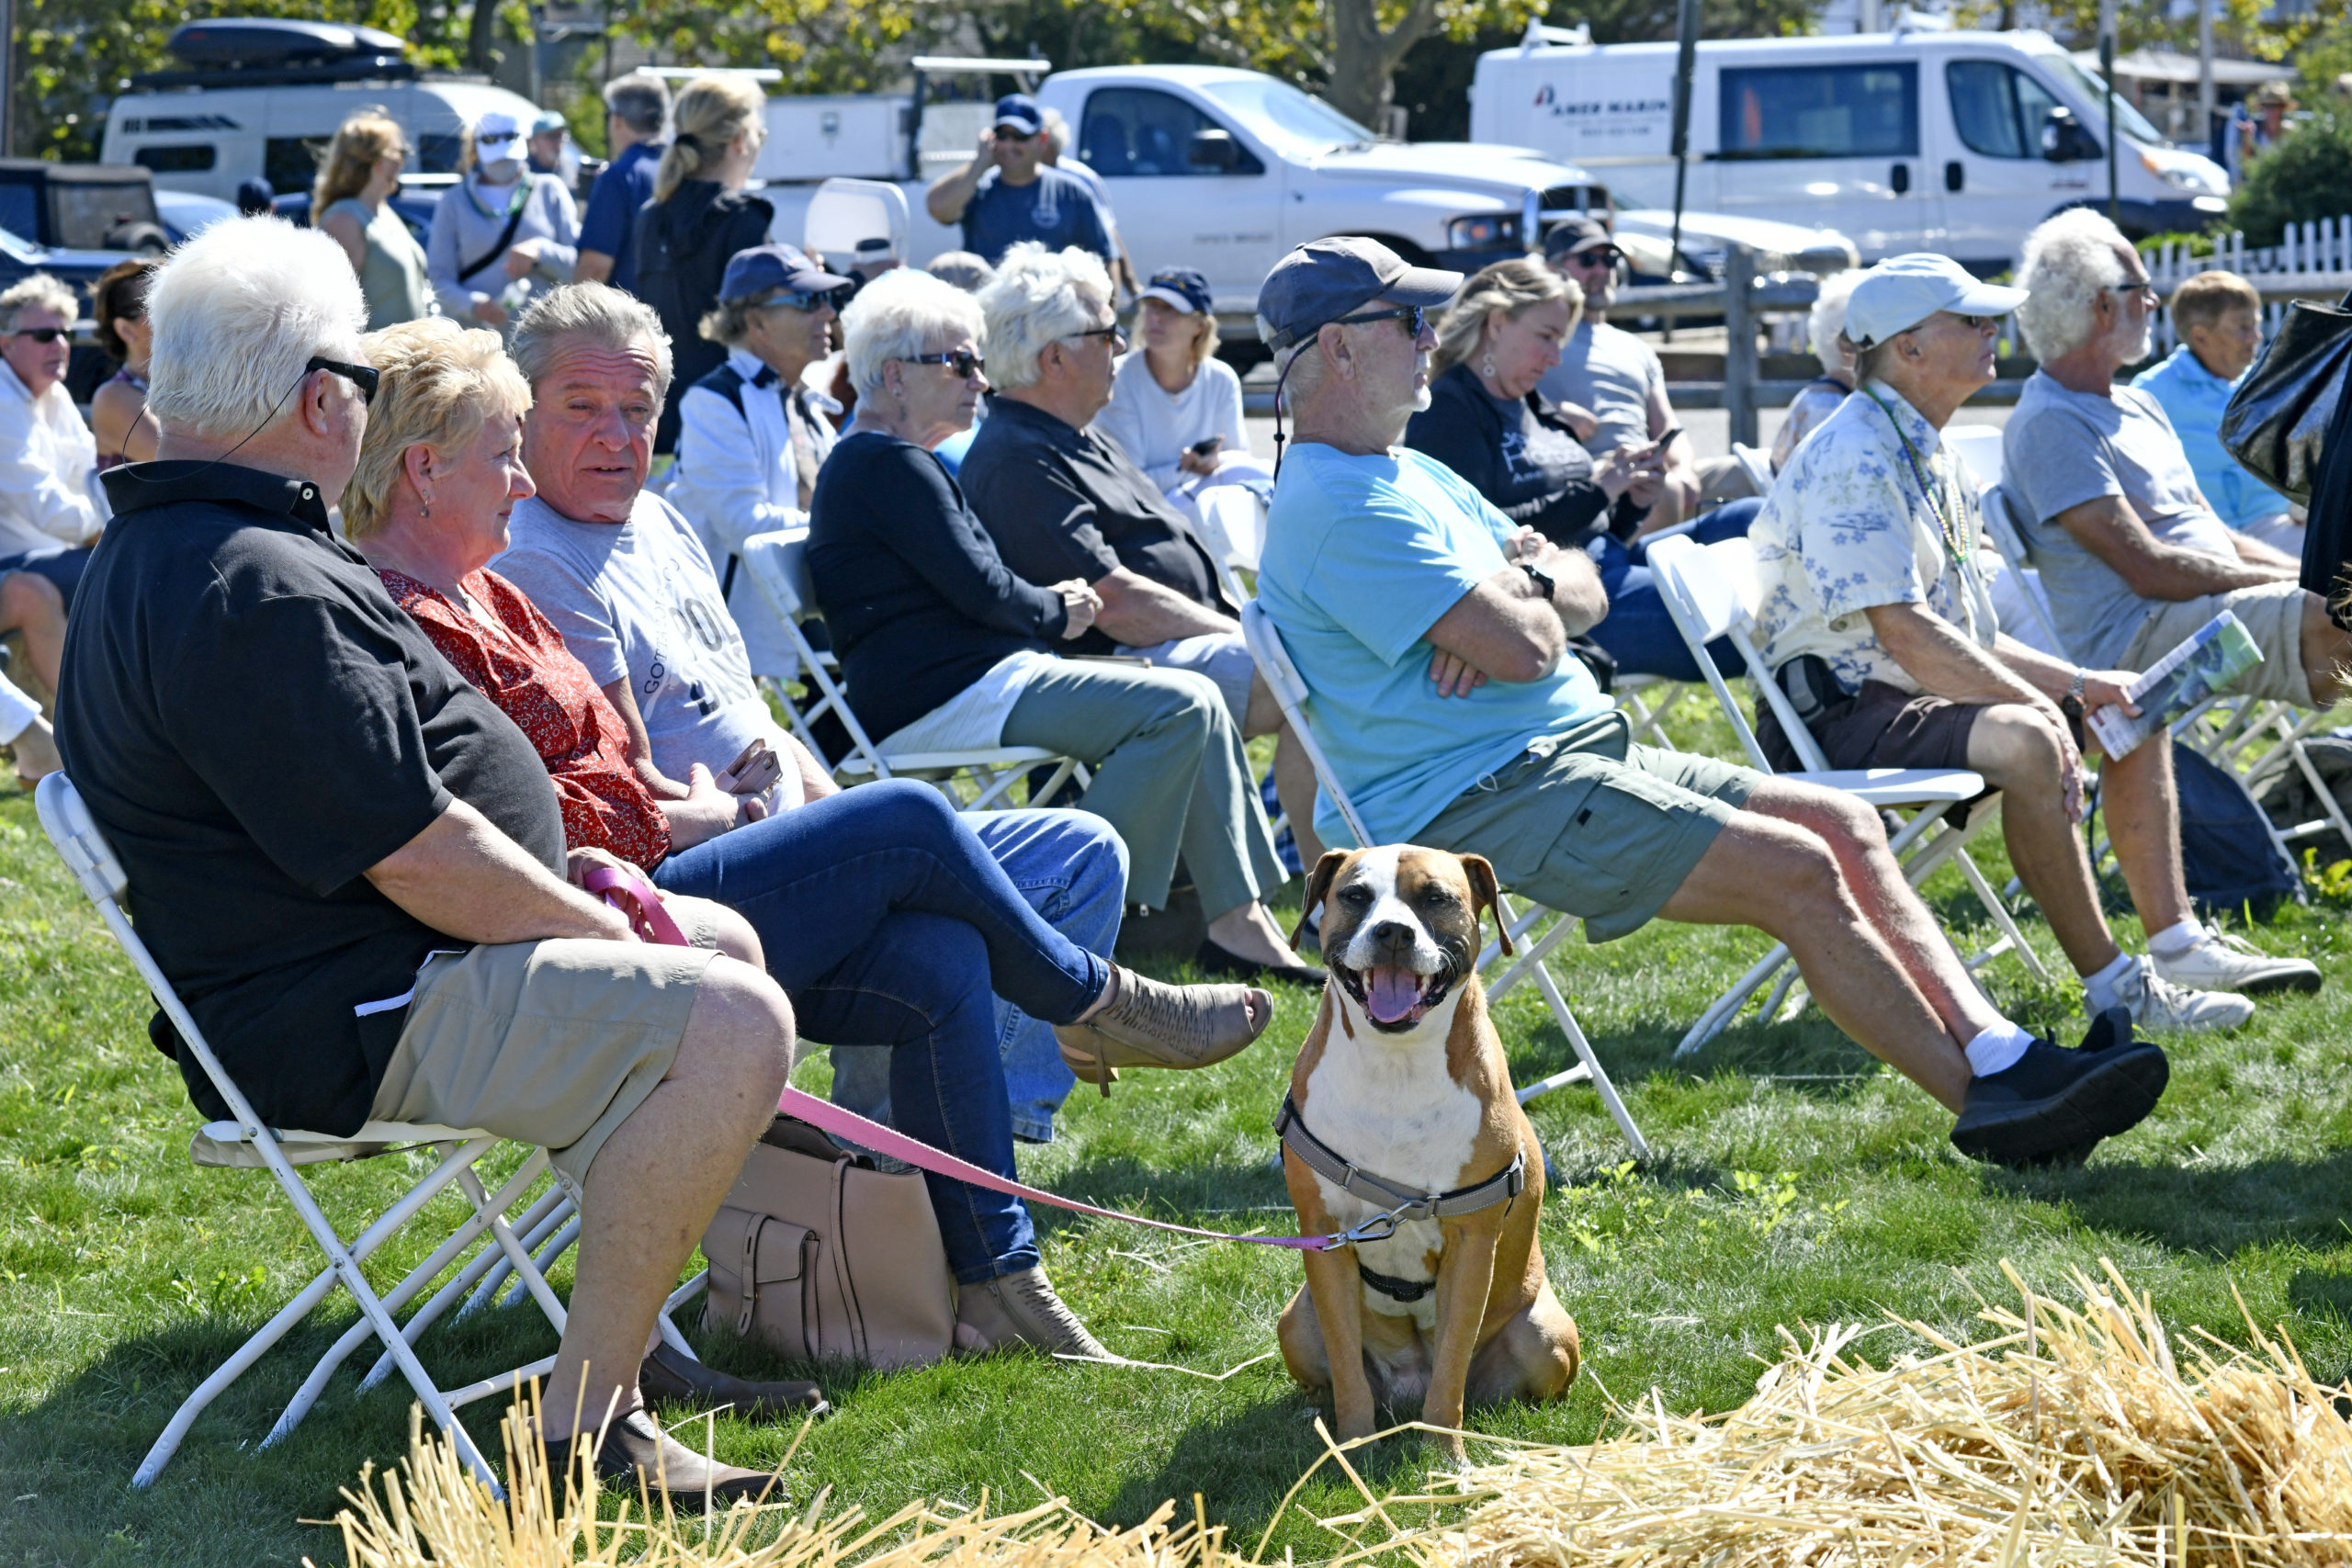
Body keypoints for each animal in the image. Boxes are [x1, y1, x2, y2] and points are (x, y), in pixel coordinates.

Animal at [1270, 846, 1580, 1457]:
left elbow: (1453, 1360)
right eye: (1355, 895)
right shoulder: (1325, 1238)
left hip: (1546, 1333)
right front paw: (1353, 1444)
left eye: (1436, 898)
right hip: (1295, 1321)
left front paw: (1444, 1455)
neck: (1397, 1064)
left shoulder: (1471, 1243)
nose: (1392, 931)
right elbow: (1347, 1368)